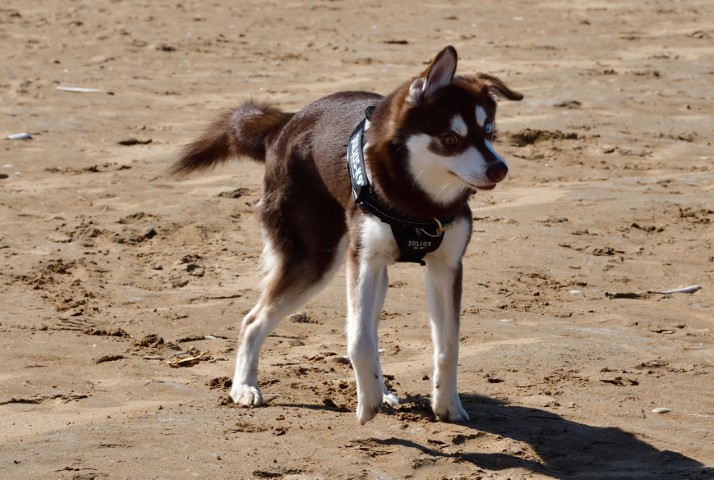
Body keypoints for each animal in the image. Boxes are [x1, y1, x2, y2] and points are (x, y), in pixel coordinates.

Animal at [172, 46, 522, 424]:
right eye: (450, 139)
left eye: (490, 131)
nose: (500, 169)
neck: (417, 203)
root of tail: (287, 123)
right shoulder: (363, 259)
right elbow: (358, 339)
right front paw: (366, 401)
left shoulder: (445, 266)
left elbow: (447, 344)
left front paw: (447, 404)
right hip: (315, 259)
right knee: (253, 321)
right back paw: (244, 387)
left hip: (372, 272)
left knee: (369, 327)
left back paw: (383, 390)